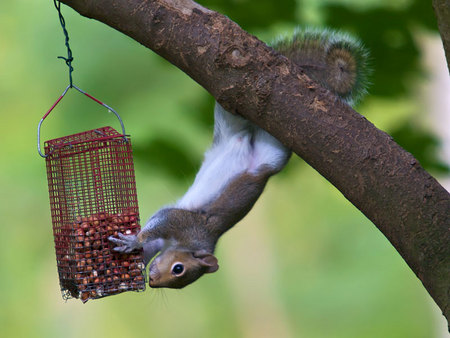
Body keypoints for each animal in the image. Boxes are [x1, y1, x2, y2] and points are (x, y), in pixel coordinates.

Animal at [108, 27, 370, 290]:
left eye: (178, 274)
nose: (152, 281)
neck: (193, 244)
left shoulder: (181, 232)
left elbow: (154, 236)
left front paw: (132, 248)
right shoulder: (187, 225)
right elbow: (163, 220)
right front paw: (134, 243)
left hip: (265, 148)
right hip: (250, 123)